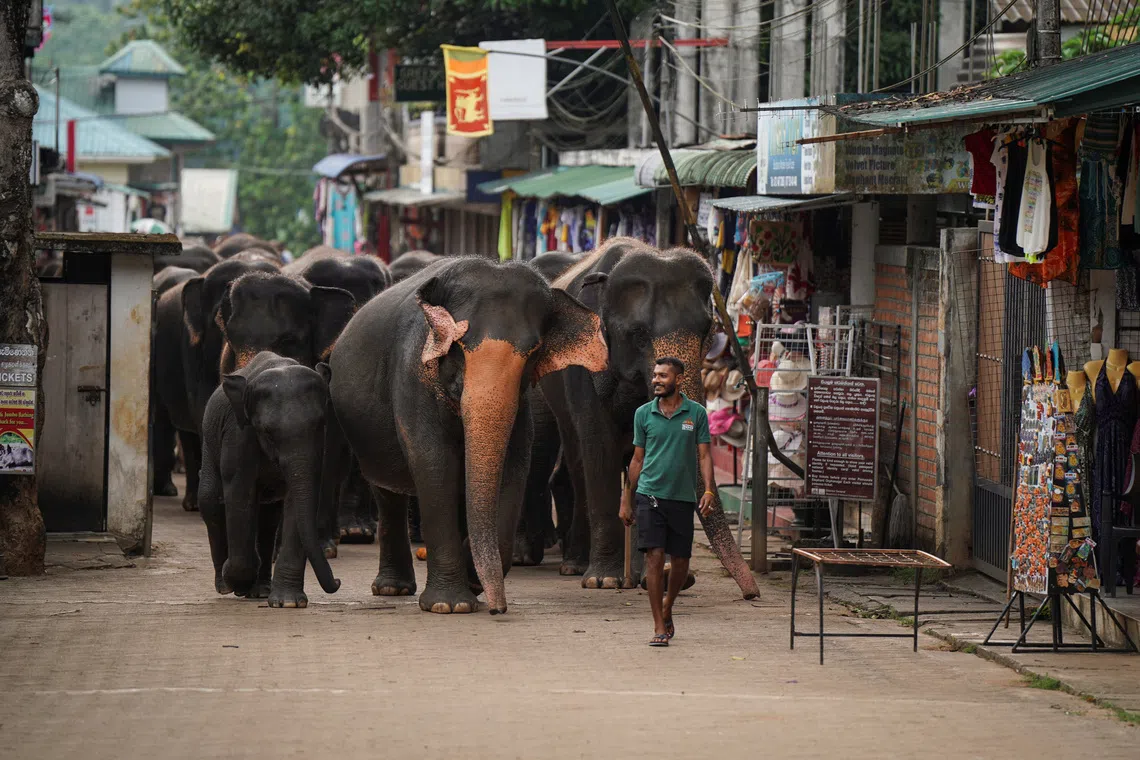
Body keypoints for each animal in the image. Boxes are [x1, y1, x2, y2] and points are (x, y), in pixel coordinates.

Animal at [198, 351, 342, 607]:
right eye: (267, 432)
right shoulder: (239, 434)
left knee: (268, 521)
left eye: (320, 424)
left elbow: (297, 500)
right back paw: (225, 585)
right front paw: (236, 580)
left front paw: (288, 602)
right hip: (209, 441)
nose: (338, 582)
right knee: (210, 502)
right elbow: (239, 493)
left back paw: (261, 591)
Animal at [326, 256, 608, 614]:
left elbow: (515, 466)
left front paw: (474, 581)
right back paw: (392, 589)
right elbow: (434, 461)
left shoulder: (520, 403)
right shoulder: (412, 374)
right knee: (386, 491)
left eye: (533, 352)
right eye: (459, 346)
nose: (499, 608)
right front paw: (450, 605)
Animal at [539, 237, 759, 599]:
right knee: (578, 459)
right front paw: (604, 581)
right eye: (638, 334)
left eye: (707, 331)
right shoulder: (585, 370)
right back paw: (576, 567)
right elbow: (598, 448)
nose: (751, 593)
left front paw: (659, 576)